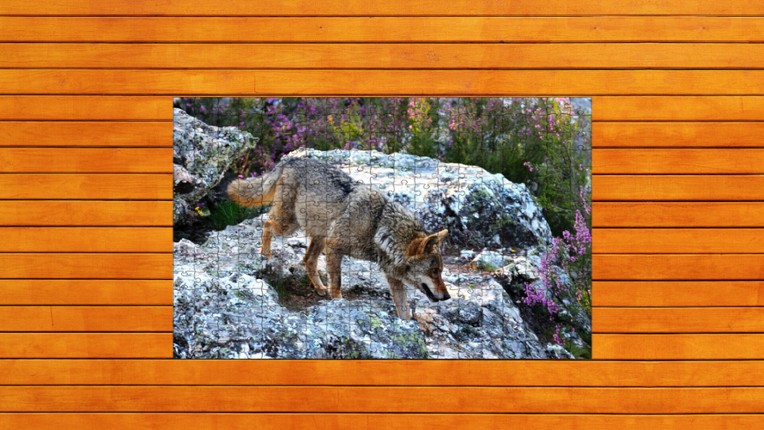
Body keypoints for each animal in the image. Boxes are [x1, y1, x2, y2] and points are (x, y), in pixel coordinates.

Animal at [227, 156, 451, 319]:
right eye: (434, 272)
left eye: (439, 272)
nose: (448, 296)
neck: (378, 226)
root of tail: (291, 159)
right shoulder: (335, 248)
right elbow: (337, 282)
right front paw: (337, 302)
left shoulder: (392, 276)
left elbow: (402, 307)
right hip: (289, 226)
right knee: (266, 223)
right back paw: (265, 254)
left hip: (319, 236)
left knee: (307, 260)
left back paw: (319, 288)